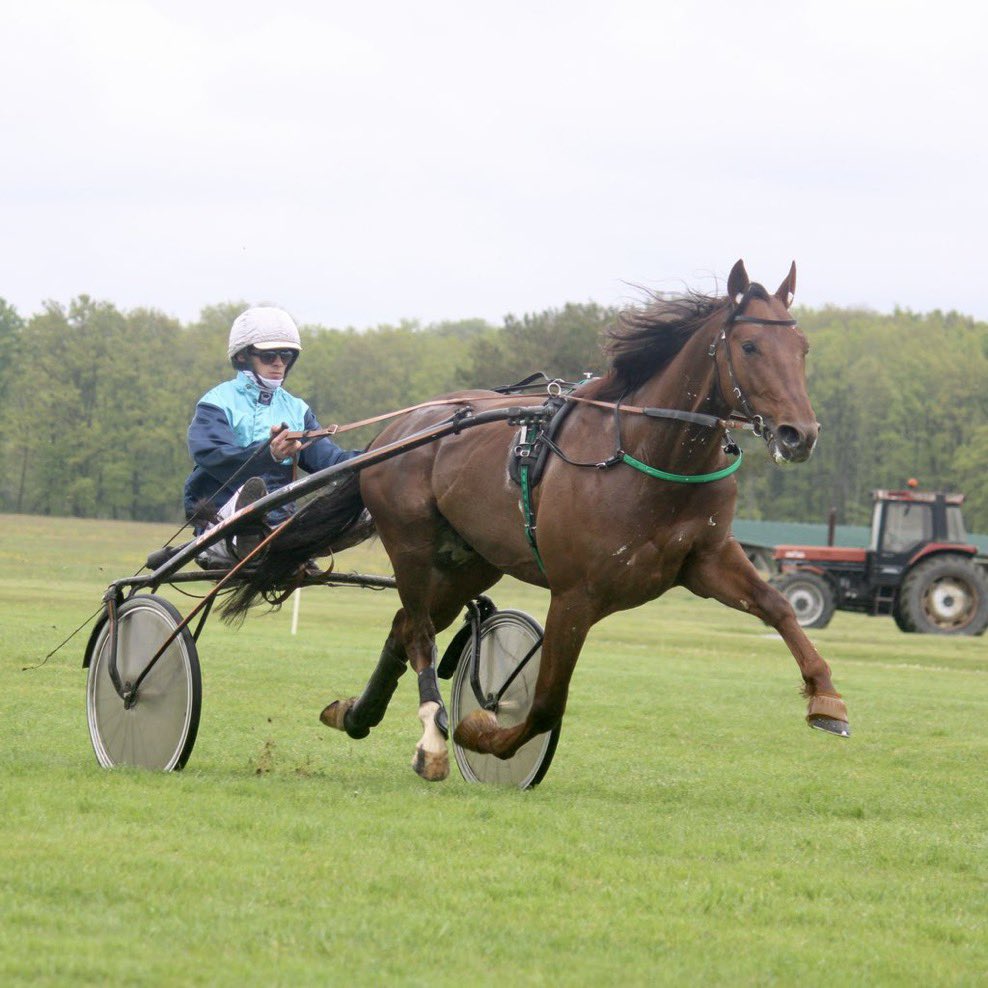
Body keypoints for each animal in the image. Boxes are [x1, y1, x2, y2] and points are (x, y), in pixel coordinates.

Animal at [223, 259, 849, 782]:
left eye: (802, 347)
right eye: (749, 345)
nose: (800, 433)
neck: (646, 452)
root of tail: (395, 432)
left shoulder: (706, 560)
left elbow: (777, 606)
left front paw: (826, 698)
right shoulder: (576, 593)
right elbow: (547, 702)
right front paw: (481, 731)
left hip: (469, 563)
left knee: (405, 625)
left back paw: (357, 713)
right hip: (411, 547)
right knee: (420, 631)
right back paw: (432, 740)